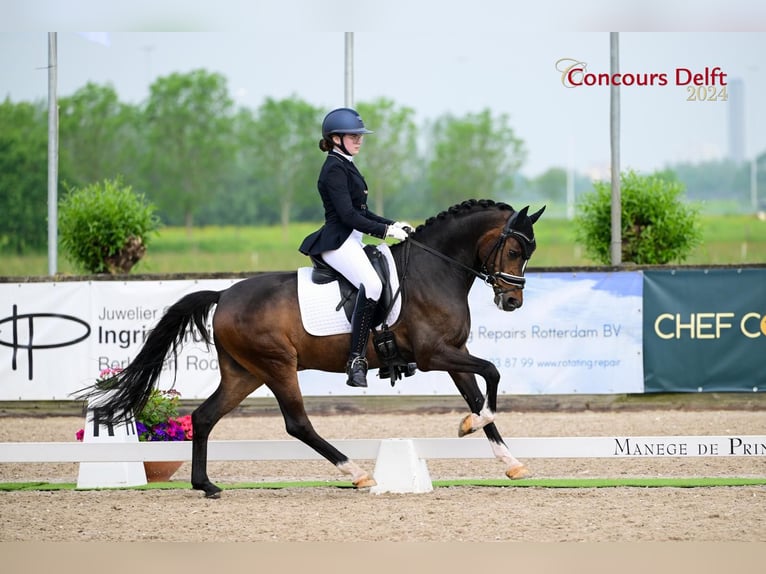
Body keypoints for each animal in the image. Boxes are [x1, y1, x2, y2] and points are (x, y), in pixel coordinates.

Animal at [82, 200, 544, 498]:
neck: (436, 270)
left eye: (530, 251)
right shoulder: (434, 355)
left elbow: (480, 394)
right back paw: (357, 474)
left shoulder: (454, 352)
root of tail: (224, 294)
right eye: (514, 249)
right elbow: (493, 375)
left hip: (244, 372)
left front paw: (509, 461)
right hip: (277, 366)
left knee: (205, 416)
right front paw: (468, 426)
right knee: (297, 424)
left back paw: (207, 485)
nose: (512, 301)